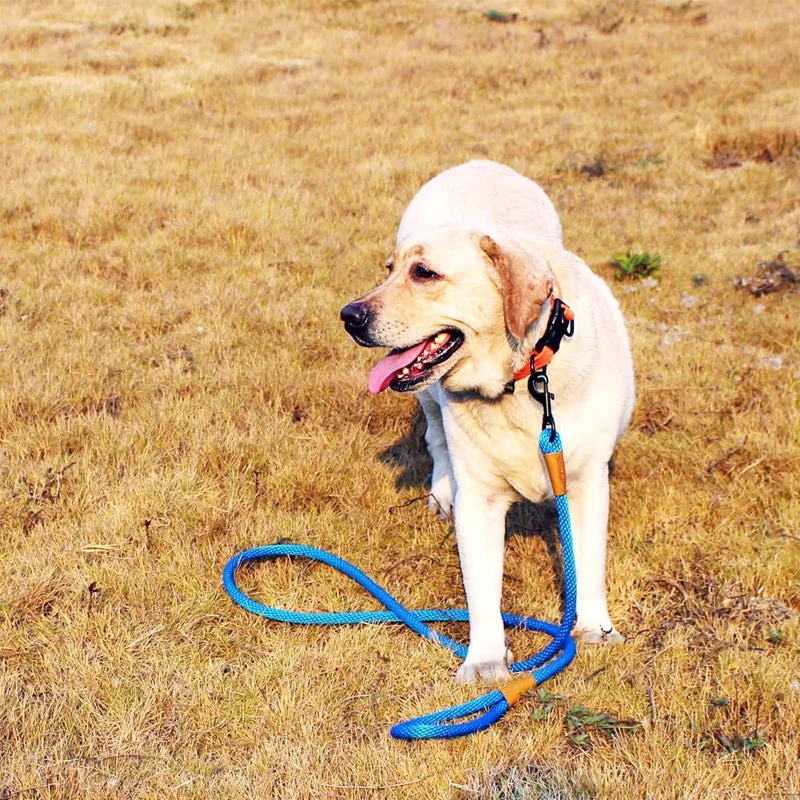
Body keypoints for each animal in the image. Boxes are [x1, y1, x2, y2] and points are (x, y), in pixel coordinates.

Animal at [340, 161, 636, 680]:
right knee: (436, 441)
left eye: (424, 273)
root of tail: (478, 164)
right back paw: (441, 492)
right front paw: (485, 661)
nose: (348, 315)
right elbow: (481, 590)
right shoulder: (479, 499)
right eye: (390, 270)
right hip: (429, 399)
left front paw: (595, 630)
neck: (520, 383)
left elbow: (589, 564)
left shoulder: (586, 482)